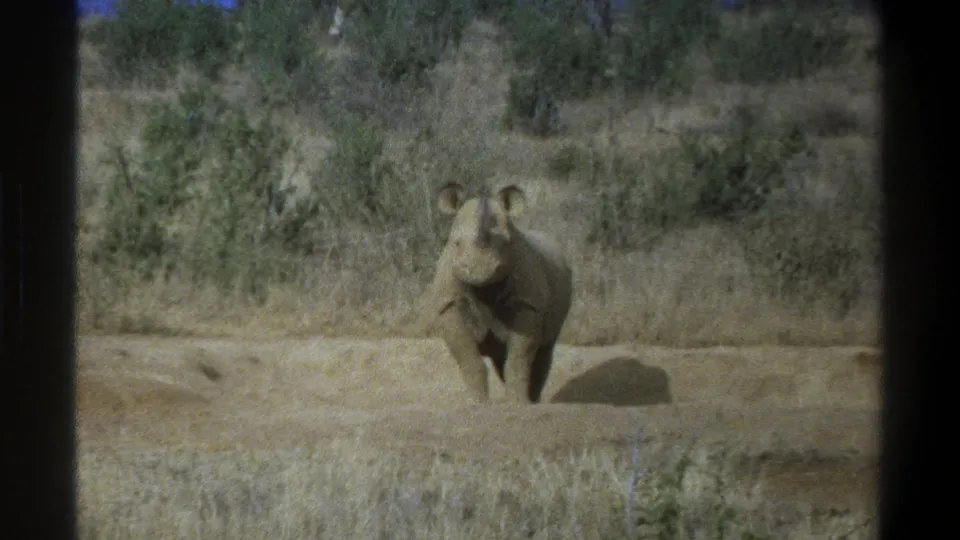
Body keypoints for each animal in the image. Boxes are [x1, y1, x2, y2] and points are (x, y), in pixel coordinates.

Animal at [423, 183, 573, 404]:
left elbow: (519, 359)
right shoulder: (448, 304)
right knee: (500, 357)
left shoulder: (528, 302)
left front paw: (518, 403)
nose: (479, 270)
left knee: (543, 351)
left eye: (506, 243)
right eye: (455, 243)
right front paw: (477, 403)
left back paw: (533, 401)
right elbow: (469, 359)